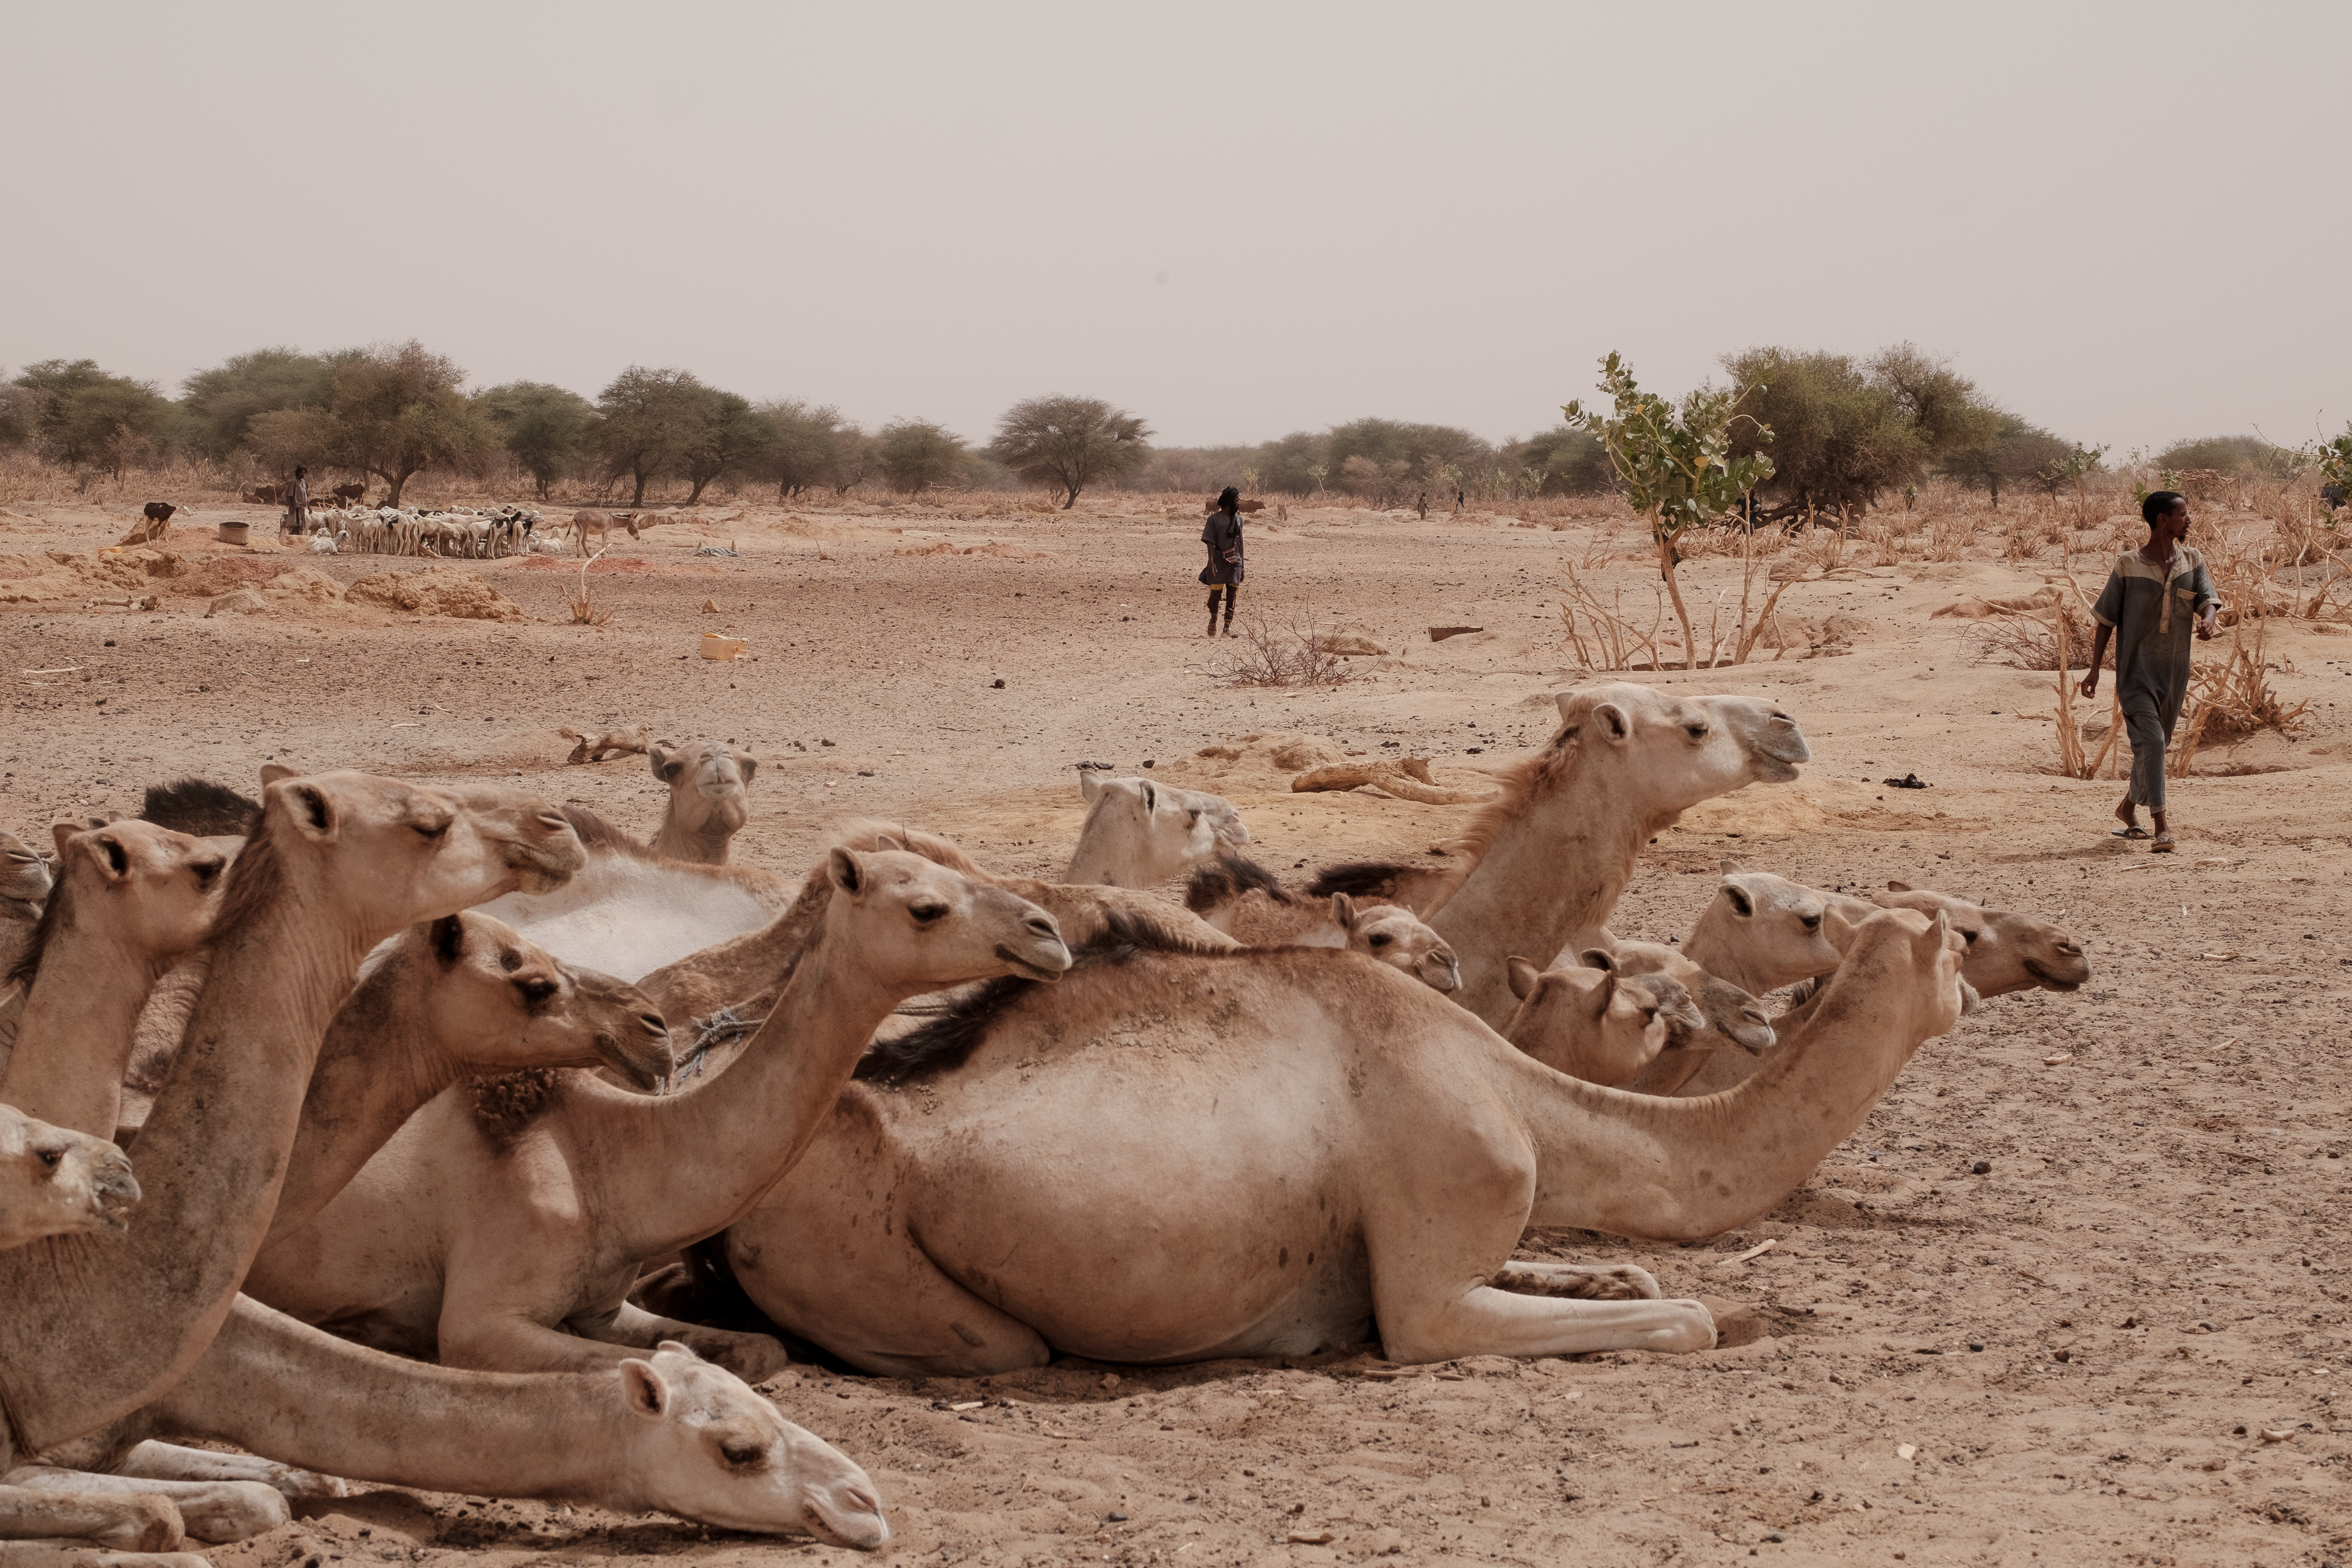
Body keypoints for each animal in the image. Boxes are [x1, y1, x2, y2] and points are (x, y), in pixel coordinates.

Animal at [247, 843, 1072, 1379]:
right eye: (927, 907)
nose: (1047, 932)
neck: (605, 1163)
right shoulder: (485, 1320)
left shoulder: (605, 1304)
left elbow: (758, 1350)